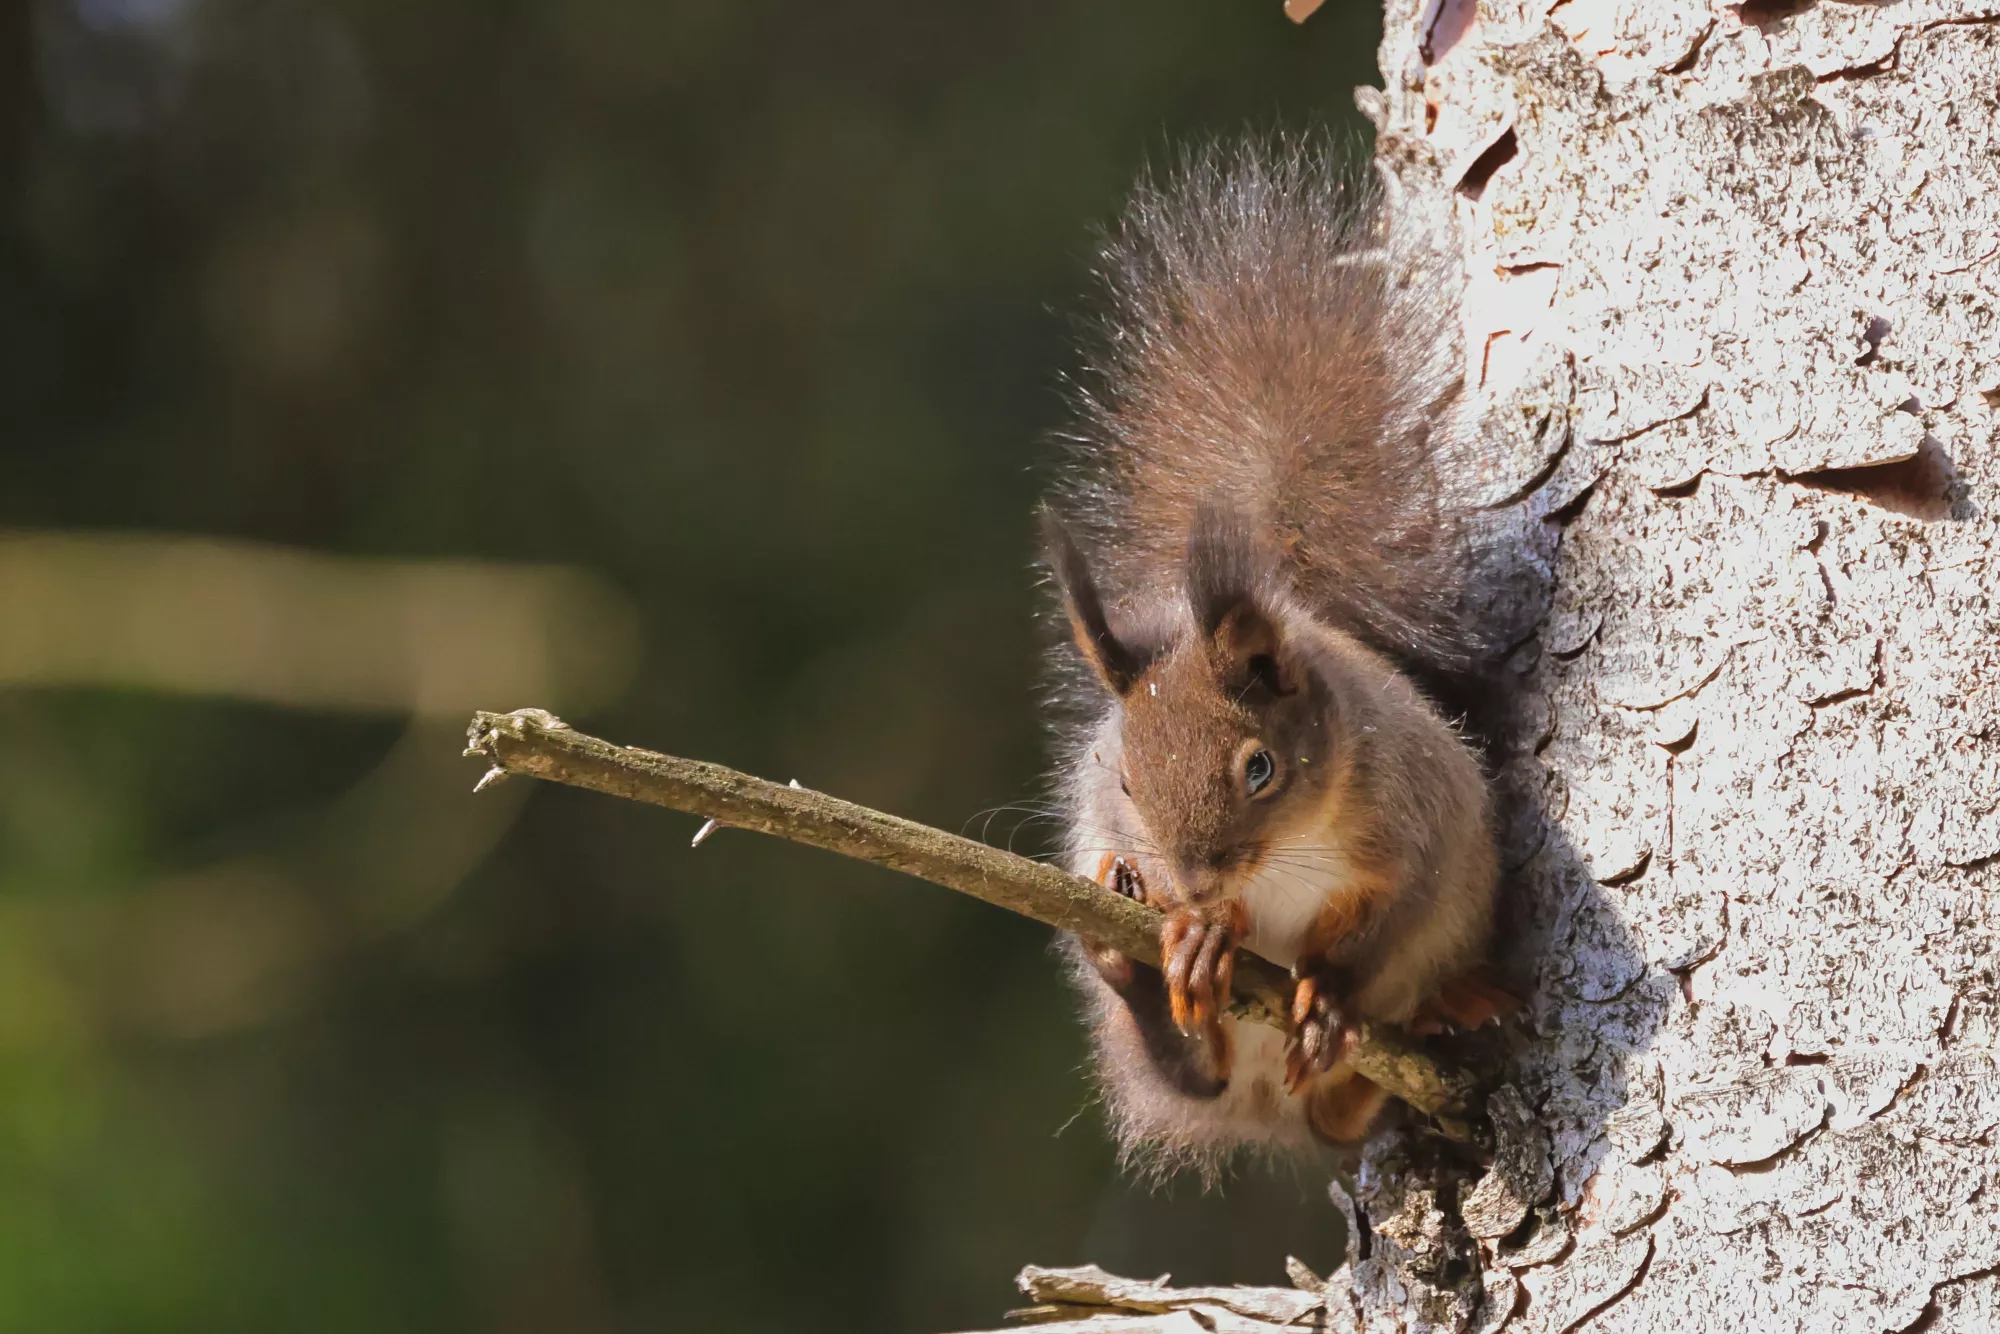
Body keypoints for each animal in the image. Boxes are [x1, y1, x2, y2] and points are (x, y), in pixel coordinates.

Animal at [1038, 138, 1507, 1179]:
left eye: (1259, 768)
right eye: (1121, 781)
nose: (1196, 879)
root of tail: (1265, 1107)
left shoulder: (1423, 827)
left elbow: (1386, 925)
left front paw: (1329, 996)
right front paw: (1200, 935)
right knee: (1185, 1073)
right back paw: (1135, 964)